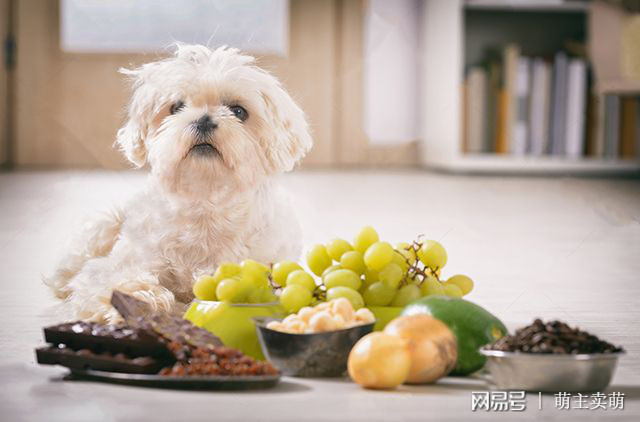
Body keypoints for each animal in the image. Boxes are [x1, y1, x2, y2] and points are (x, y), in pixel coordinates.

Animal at [45, 44, 312, 324]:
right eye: (176, 107)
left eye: (239, 111)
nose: (204, 119)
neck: (205, 200)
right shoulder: (120, 264)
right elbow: (114, 280)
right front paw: (140, 299)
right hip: (104, 225)